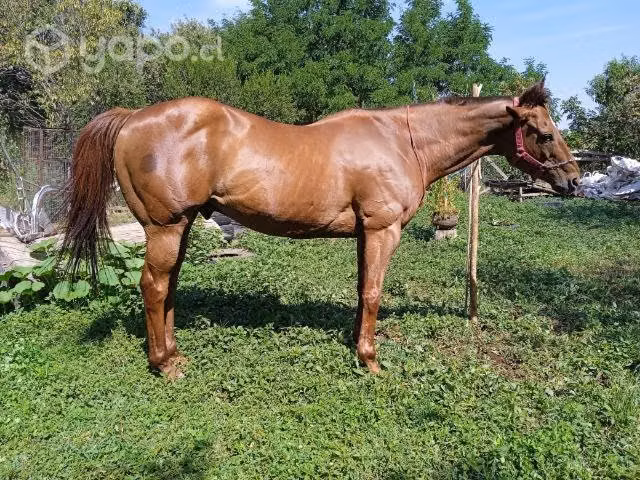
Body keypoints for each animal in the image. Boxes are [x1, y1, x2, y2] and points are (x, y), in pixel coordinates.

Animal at [62, 80, 580, 378]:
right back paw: (164, 364)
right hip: (166, 227)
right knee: (153, 286)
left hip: (180, 228)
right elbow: (373, 292)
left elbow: (361, 289)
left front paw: (357, 344)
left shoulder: (366, 234)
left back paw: (174, 353)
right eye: (545, 133)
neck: (404, 141)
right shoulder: (383, 230)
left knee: (167, 288)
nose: (573, 180)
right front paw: (370, 360)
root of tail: (132, 117)